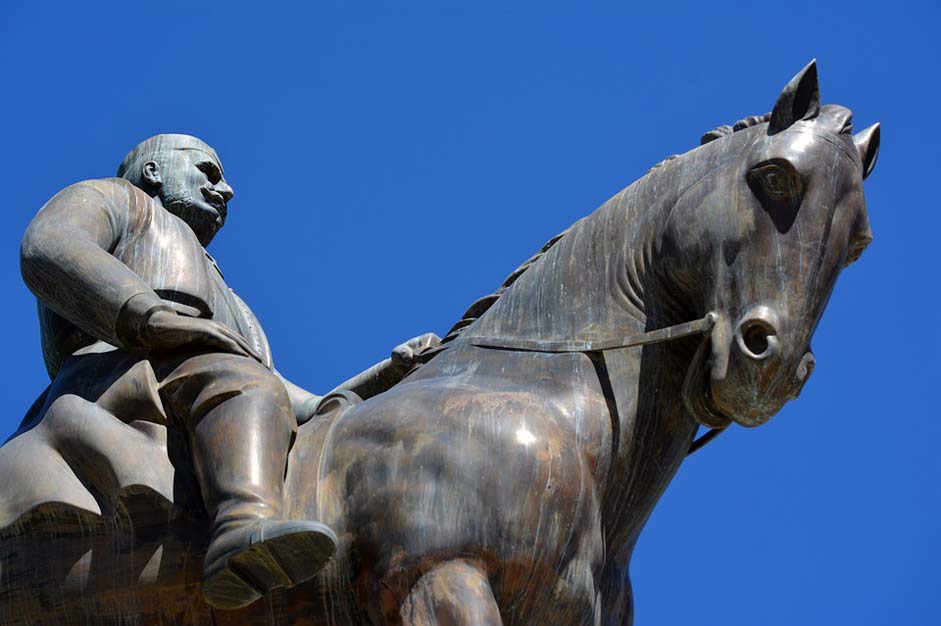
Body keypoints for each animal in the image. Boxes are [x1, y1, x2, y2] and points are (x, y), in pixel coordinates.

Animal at [0, 59, 876, 624]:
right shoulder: (440, 580)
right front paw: (179, 319)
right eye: (773, 178)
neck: (534, 402)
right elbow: (54, 242)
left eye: (859, 240)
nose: (770, 364)